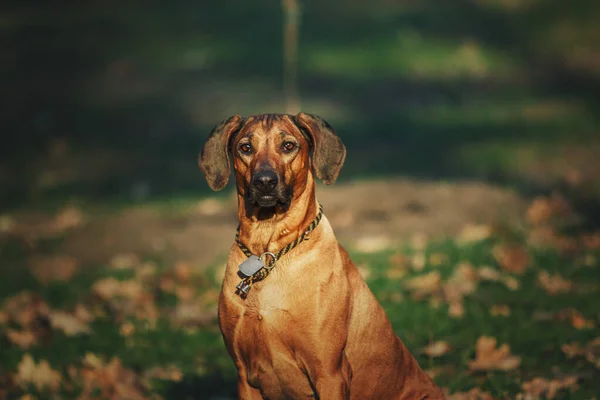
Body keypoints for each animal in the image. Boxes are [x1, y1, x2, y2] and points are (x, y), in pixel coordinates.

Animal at [199, 113, 442, 400]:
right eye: (245, 148)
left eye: (288, 146)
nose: (265, 181)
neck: (268, 251)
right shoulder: (244, 376)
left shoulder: (330, 372)